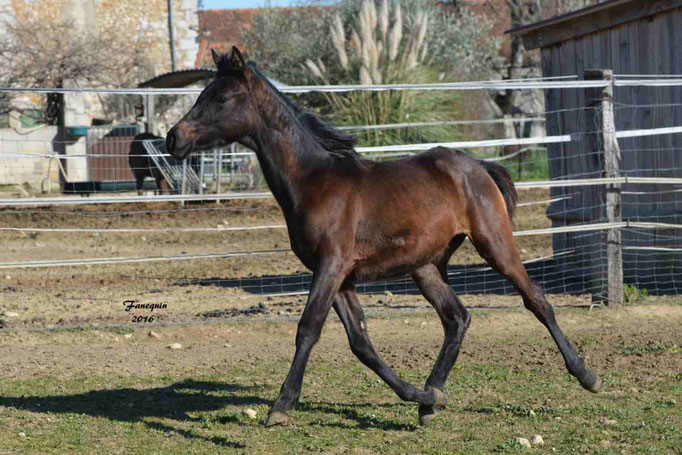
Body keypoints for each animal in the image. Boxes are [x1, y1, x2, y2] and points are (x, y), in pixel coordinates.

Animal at [166, 46, 600, 428]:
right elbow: (360, 342)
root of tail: (478, 165)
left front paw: (281, 406)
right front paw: (419, 395)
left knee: (536, 299)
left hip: (495, 244)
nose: (173, 138)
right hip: (425, 267)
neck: (313, 181)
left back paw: (586, 375)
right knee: (457, 318)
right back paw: (431, 399)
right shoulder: (341, 277)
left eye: (221, 97)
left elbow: (308, 329)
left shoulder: (331, 265)